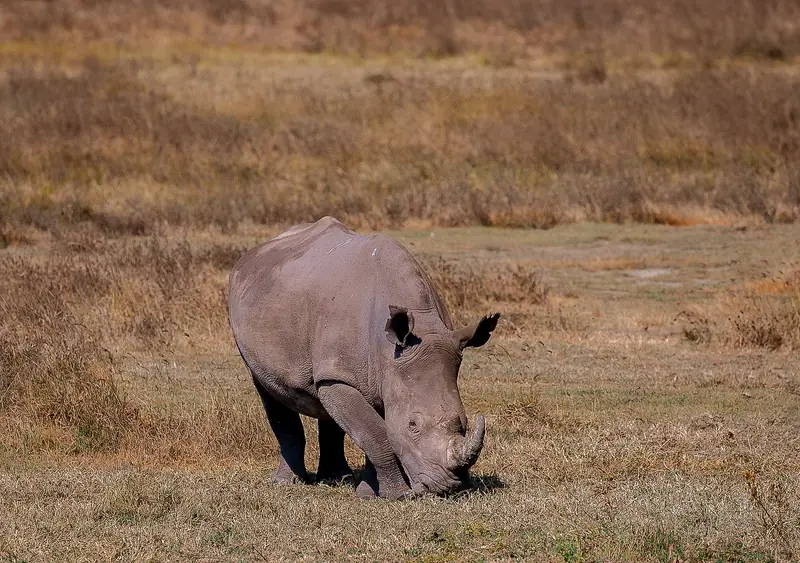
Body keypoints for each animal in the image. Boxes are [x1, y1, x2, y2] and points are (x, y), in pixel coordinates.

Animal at [227, 216, 499, 499]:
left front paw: (368, 493)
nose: (450, 487)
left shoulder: (386, 370)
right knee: (270, 390)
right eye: (412, 425)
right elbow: (377, 434)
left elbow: (373, 430)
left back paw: (337, 477)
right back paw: (287, 482)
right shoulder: (345, 375)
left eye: (464, 422)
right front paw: (397, 495)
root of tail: (252, 254)